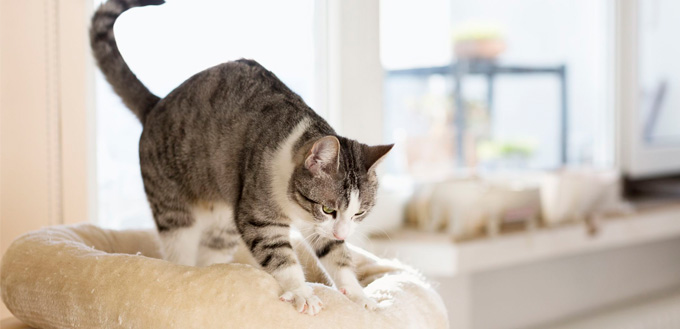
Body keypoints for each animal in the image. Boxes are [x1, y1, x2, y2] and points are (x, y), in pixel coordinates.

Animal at [93, 0, 396, 314]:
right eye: (328, 209)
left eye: (359, 213)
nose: (342, 233)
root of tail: (156, 104)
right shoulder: (258, 213)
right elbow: (279, 255)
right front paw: (301, 292)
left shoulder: (316, 227)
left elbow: (337, 256)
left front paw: (360, 296)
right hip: (173, 209)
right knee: (178, 249)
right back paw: (185, 272)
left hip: (222, 222)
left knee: (211, 252)